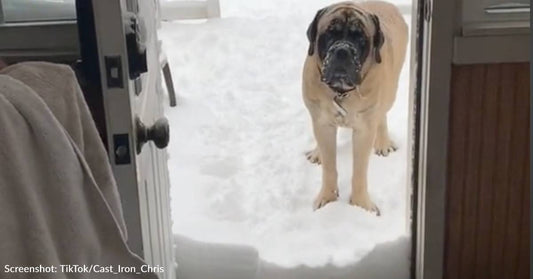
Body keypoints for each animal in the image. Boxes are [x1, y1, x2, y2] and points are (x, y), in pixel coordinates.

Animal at [304, 1, 408, 214]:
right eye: (330, 33)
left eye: (360, 38)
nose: (342, 51)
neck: (341, 92)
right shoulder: (323, 124)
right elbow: (329, 166)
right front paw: (327, 199)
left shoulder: (364, 129)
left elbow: (359, 170)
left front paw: (361, 205)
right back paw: (317, 152)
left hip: (390, 90)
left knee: (382, 114)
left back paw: (383, 142)